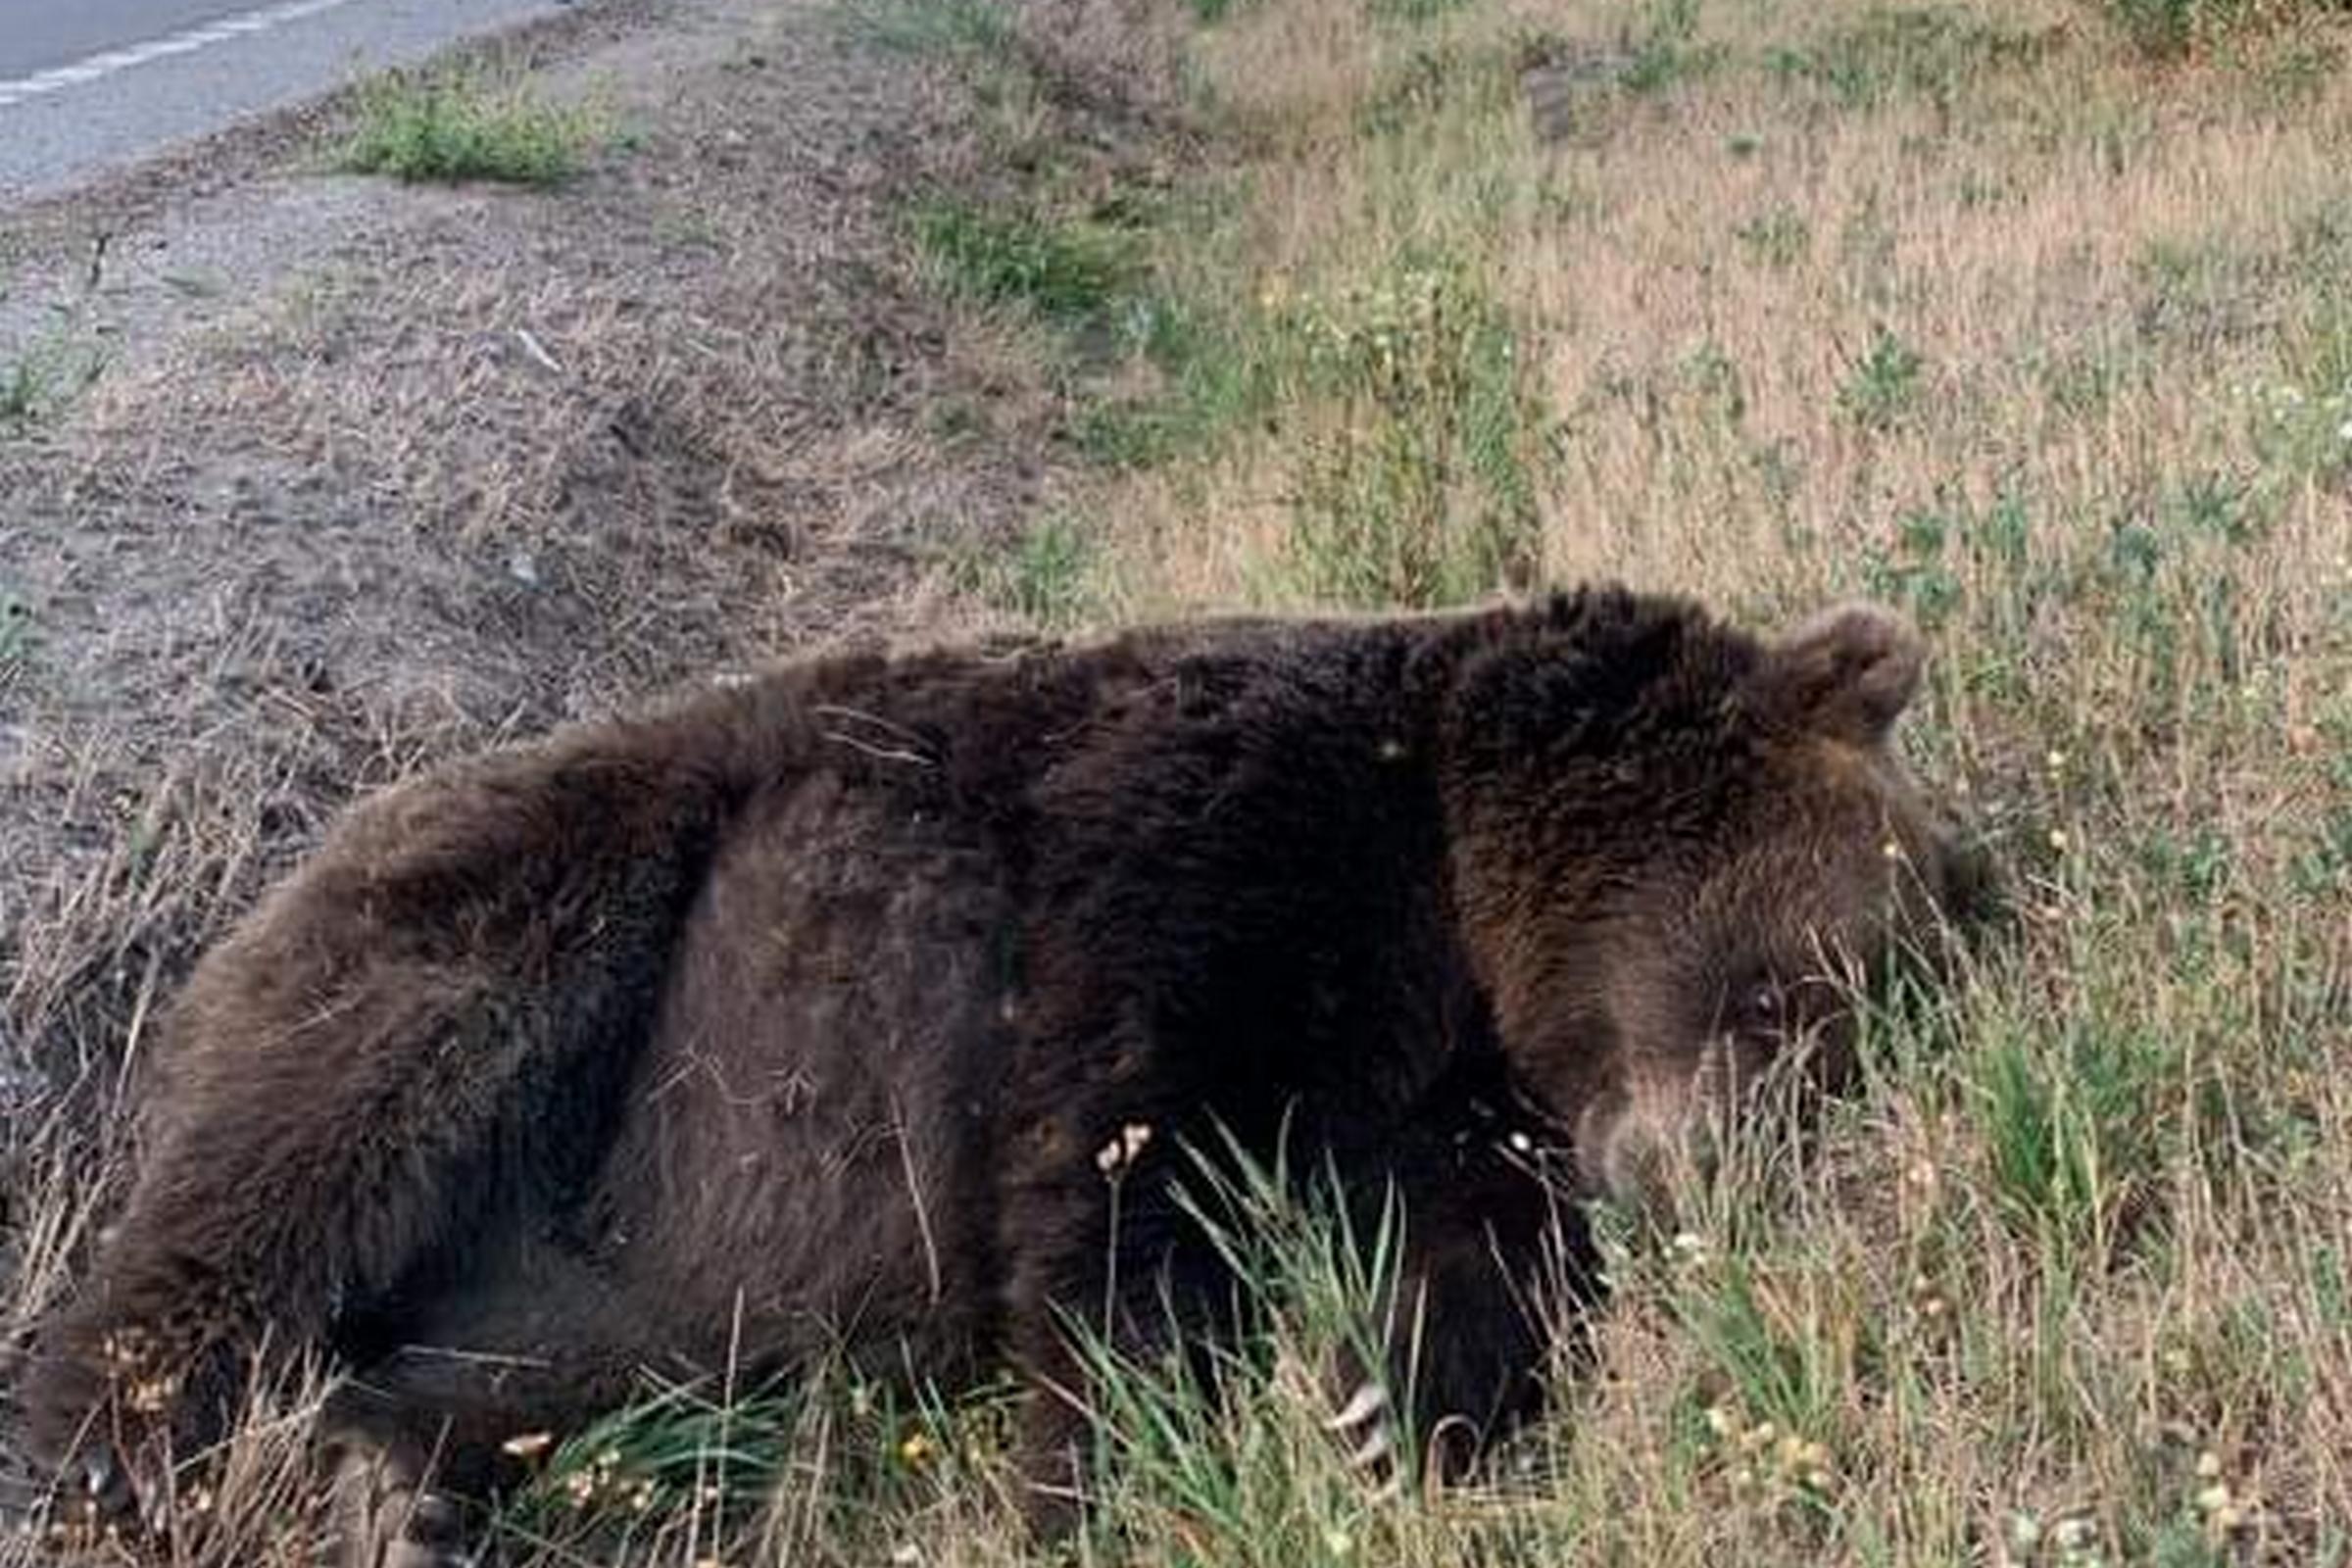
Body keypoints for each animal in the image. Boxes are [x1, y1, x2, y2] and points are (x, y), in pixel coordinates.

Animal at [18, 592, 1984, 1568]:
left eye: (1861, 1028)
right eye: (1792, 999)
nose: (1713, 1182)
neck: (1442, 871)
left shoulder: (1451, 1088)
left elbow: (1472, 1242)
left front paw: (1389, 1398)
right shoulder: (1196, 850)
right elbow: (1119, 1172)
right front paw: (1106, 1473)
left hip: (635, 1250)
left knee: (538, 1362)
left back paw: (391, 1486)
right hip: (545, 923)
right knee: (302, 1153)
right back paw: (114, 1466)